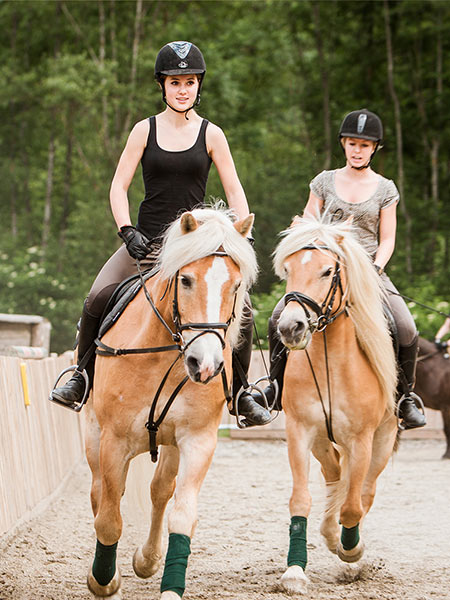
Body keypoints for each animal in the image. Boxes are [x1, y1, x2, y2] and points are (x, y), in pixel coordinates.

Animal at [84, 205, 256, 596]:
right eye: (187, 280)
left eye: (236, 286)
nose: (205, 365)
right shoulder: (114, 440)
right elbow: (109, 519)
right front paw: (103, 580)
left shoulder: (197, 440)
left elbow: (182, 515)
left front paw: (168, 584)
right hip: (92, 434)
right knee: (100, 493)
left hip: (170, 443)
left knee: (160, 491)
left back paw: (147, 560)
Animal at [274, 216, 398, 596]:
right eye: (288, 269)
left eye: (328, 270)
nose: (291, 327)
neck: (331, 360)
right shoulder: (300, 431)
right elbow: (301, 500)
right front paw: (294, 572)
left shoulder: (362, 440)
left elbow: (353, 507)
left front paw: (352, 551)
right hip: (320, 441)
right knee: (333, 476)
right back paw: (329, 534)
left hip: (383, 441)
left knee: (364, 491)